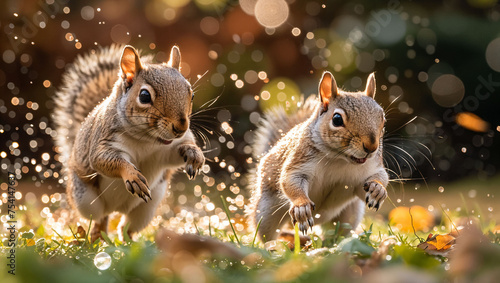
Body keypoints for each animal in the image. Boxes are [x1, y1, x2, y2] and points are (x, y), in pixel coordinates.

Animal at [53, 44, 205, 242]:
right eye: (144, 96)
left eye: (191, 94)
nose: (181, 127)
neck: (147, 139)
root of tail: (116, 209)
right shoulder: (104, 141)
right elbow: (106, 161)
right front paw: (132, 176)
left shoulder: (166, 151)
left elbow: (178, 154)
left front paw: (195, 155)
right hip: (84, 199)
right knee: (100, 218)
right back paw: (95, 238)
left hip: (148, 207)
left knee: (126, 228)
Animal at [248, 71, 388, 242]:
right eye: (337, 119)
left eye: (383, 119)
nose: (371, 147)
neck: (339, 159)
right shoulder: (299, 161)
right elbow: (290, 180)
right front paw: (301, 206)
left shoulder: (368, 172)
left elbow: (377, 180)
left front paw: (378, 189)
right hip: (266, 211)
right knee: (266, 234)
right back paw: (275, 245)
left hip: (350, 213)